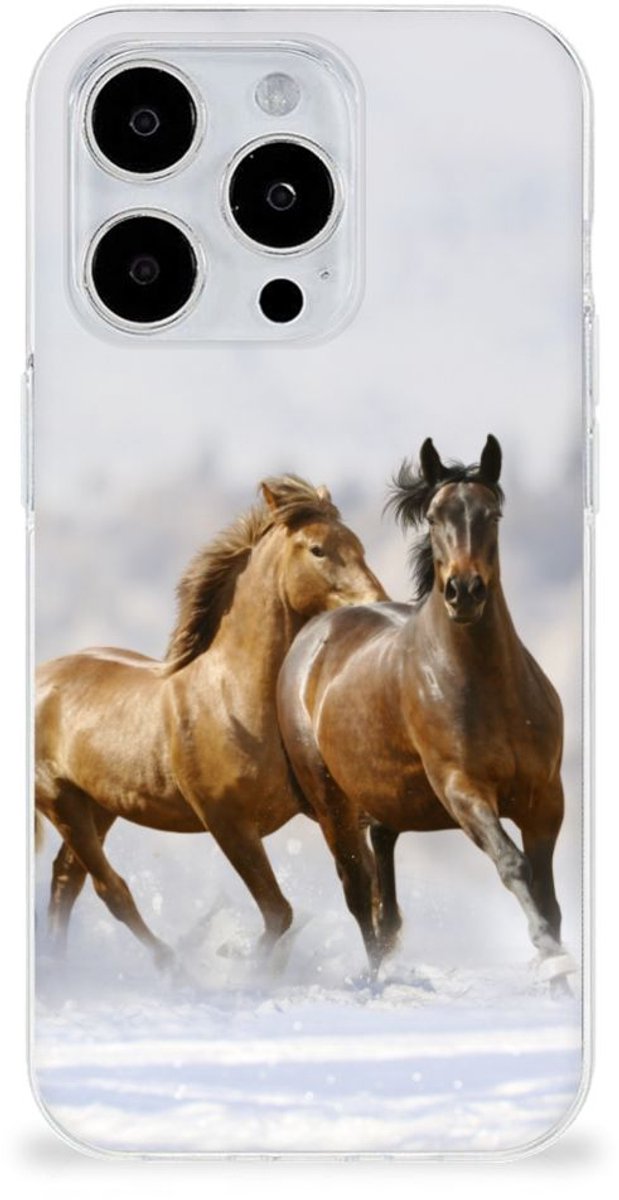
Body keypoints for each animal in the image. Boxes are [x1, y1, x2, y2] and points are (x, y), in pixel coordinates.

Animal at [35, 475, 387, 968]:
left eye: (358, 545)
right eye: (318, 549)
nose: (378, 604)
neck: (234, 700)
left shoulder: (328, 809)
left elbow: (363, 891)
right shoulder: (228, 823)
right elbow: (279, 911)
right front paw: (244, 965)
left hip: (99, 806)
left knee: (67, 879)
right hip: (60, 801)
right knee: (110, 889)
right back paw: (169, 965)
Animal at [277, 437, 570, 983]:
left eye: (492, 514)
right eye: (434, 517)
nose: (464, 591)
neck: (489, 689)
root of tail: (313, 634)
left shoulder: (545, 799)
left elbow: (547, 893)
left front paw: (558, 970)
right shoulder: (463, 791)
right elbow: (513, 864)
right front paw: (547, 951)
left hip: (385, 801)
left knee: (384, 895)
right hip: (332, 805)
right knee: (359, 893)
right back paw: (375, 980)